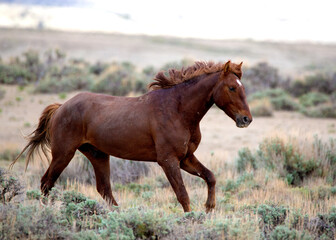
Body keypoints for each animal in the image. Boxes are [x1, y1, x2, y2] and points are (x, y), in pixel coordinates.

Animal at [10, 60, 252, 212]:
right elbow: (182, 194)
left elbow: (210, 176)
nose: (246, 119)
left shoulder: (185, 158)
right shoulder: (168, 161)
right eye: (232, 88)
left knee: (104, 189)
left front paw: (209, 209)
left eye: (243, 87)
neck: (177, 109)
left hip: (97, 155)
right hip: (63, 153)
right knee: (46, 183)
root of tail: (61, 106)